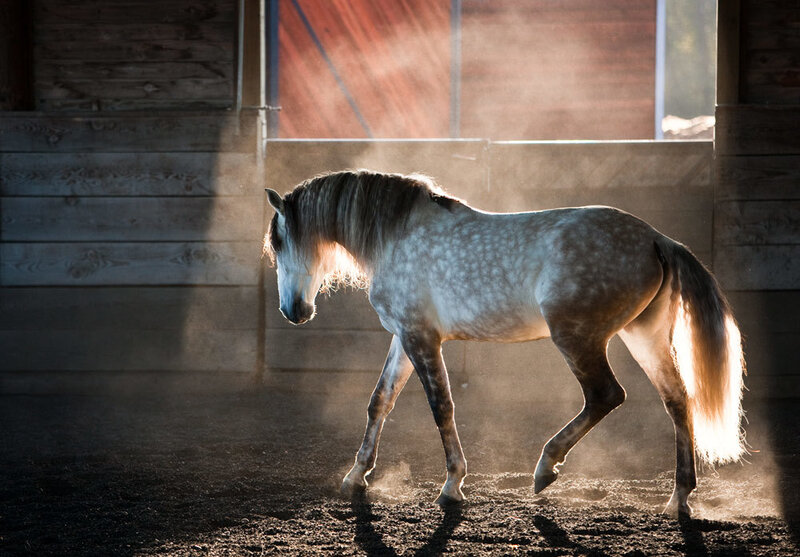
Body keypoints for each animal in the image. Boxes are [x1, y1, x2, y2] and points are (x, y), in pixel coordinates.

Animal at [264, 169, 746, 517]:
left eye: (281, 241)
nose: (292, 310)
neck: (396, 237)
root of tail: (656, 238)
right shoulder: (405, 337)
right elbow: (380, 401)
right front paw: (356, 475)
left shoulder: (421, 338)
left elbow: (441, 406)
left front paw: (453, 484)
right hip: (643, 337)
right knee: (677, 401)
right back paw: (679, 498)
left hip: (577, 337)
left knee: (606, 395)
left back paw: (545, 469)